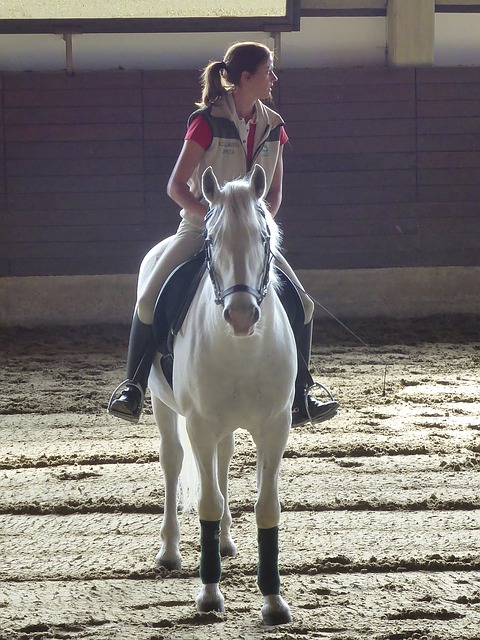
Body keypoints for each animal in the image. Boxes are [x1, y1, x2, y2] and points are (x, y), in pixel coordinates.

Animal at [147, 165, 296, 624]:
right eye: (211, 240)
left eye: (263, 237)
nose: (242, 315)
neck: (242, 347)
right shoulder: (199, 424)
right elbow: (207, 503)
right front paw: (209, 595)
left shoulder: (275, 427)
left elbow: (267, 507)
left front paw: (273, 601)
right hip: (163, 407)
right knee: (173, 462)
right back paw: (170, 550)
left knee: (224, 459)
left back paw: (227, 542)